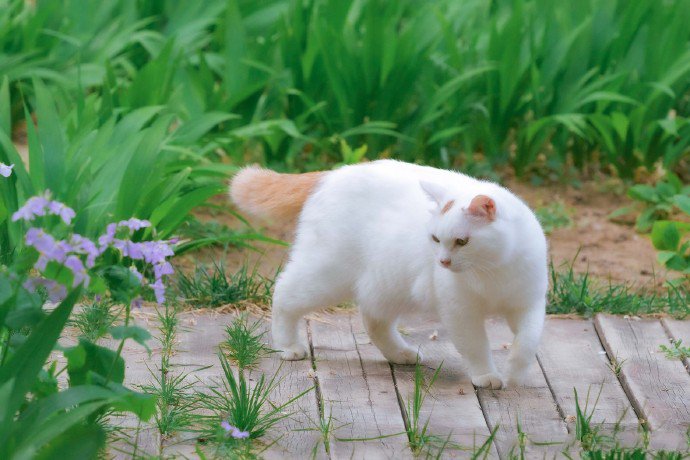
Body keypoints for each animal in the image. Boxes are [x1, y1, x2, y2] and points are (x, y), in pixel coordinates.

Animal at [228, 160, 544, 386]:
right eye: (435, 239)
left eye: (462, 242)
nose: (442, 262)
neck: (492, 270)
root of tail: (334, 173)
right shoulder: (461, 313)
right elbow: (477, 346)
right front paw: (486, 376)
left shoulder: (529, 304)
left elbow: (528, 342)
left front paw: (515, 373)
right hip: (327, 275)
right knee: (284, 294)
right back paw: (289, 346)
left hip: (386, 284)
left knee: (373, 321)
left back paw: (401, 354)